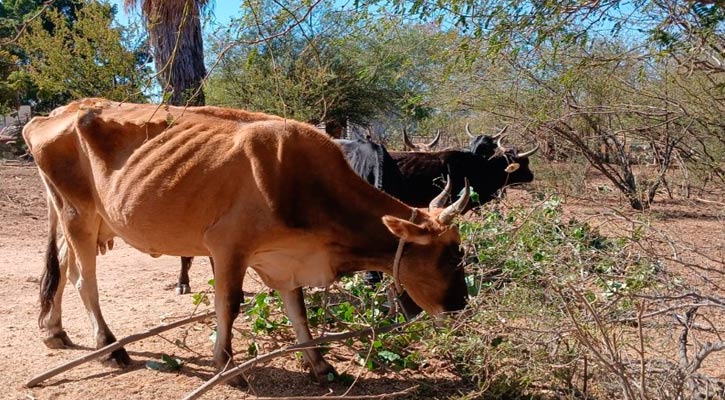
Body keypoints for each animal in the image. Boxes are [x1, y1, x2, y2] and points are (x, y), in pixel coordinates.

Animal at [24, 99, 470, 384]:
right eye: (450, 255)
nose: (461, 305)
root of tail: (53, 113)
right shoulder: (228, 247)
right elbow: (230, 304)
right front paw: (224, 364)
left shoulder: (284, 260)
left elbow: (298, 311)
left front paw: (319, 365)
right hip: (79, 216)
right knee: (85, 281)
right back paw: (111, 347)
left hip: (83, 218)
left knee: (61, 269)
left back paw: (54, 331)